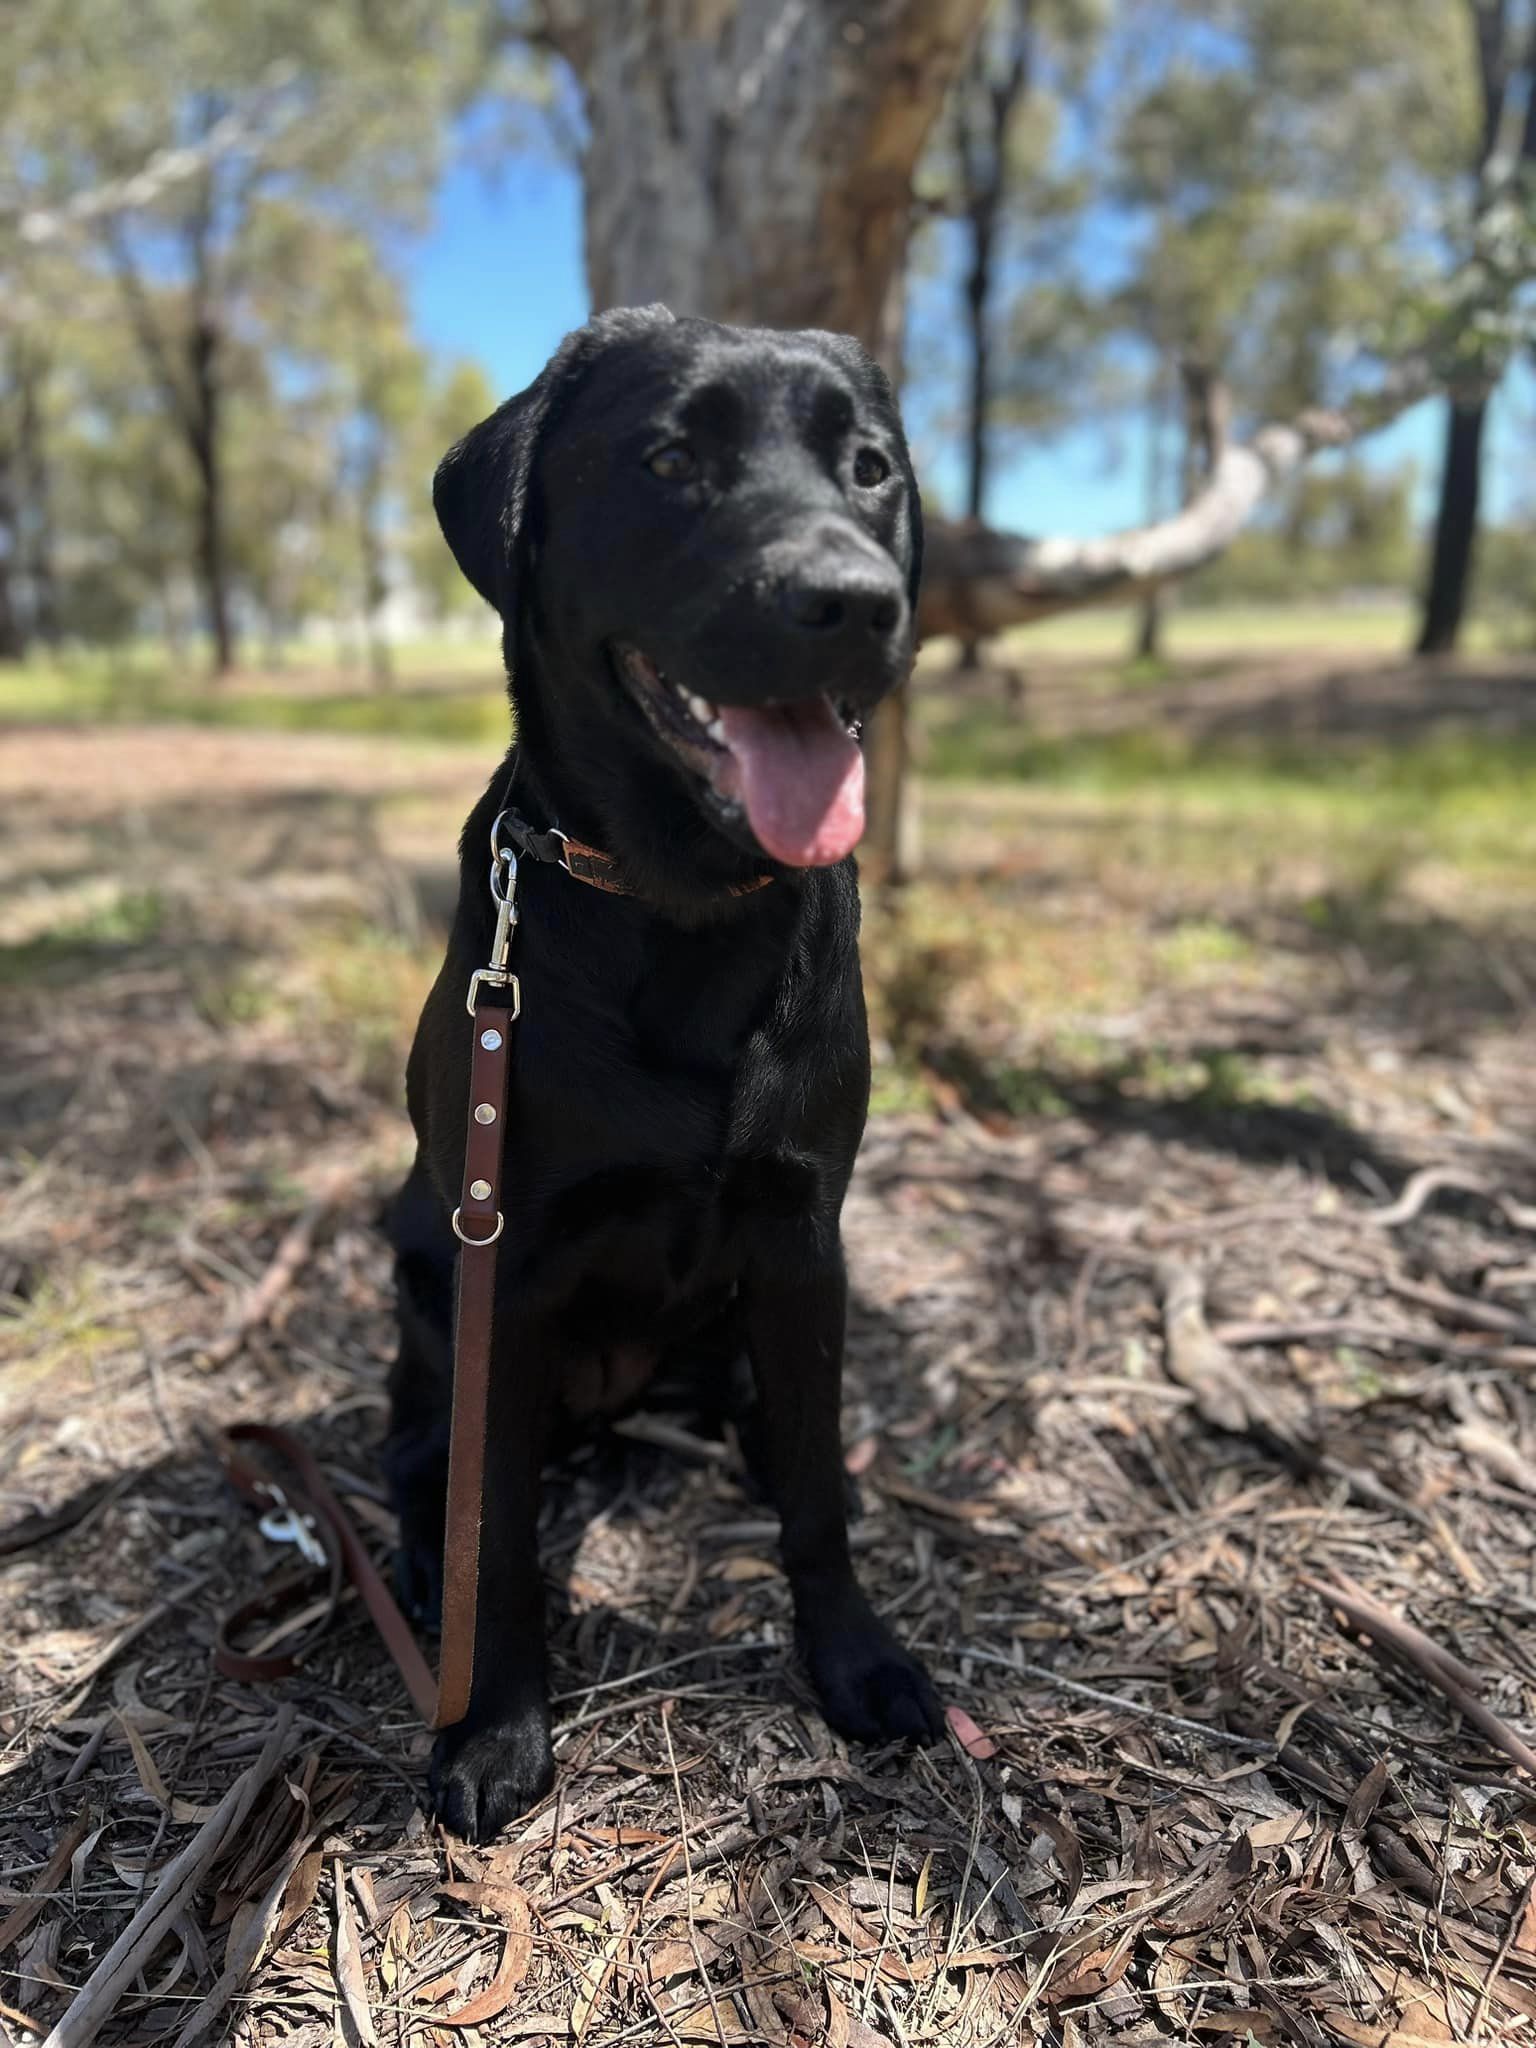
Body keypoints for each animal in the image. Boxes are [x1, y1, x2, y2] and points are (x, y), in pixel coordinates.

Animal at [391, 299, 946, 1843]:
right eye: (668, 462)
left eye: (871, 467)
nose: (852, 602)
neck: (685, 909)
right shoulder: (507, 1264)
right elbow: (499, 1535)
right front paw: (497, 1723)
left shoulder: (805, 1236)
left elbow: (818, 1492)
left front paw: (856, 1658)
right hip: (422, 1266)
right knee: (428, 1465)